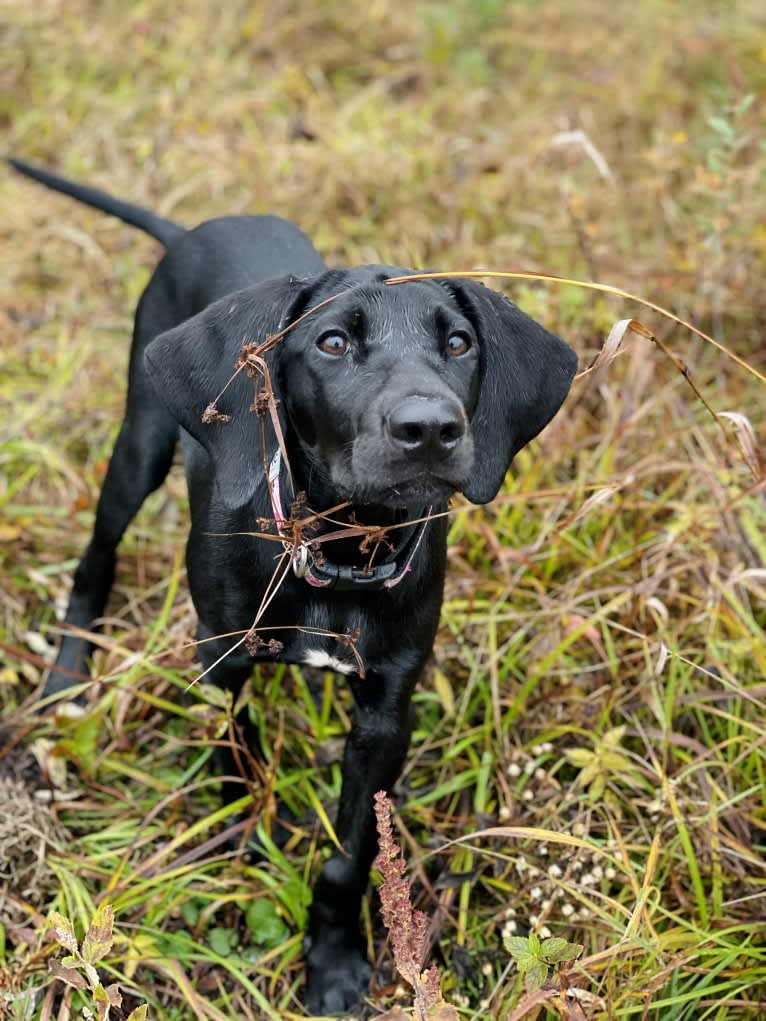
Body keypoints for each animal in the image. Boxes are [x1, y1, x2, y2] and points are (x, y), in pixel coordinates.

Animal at [10, 159, 576, 1012]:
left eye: (458, 342)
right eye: (332, 342)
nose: (429, 429)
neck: (339, 553)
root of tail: (193, 229)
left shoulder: (385, 710)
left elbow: (352, 853)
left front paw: (336, 958)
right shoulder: (222, 654)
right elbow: (237, 750)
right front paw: (244, 830)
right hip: (140, 441)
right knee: (96, 554)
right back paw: (67, 672)